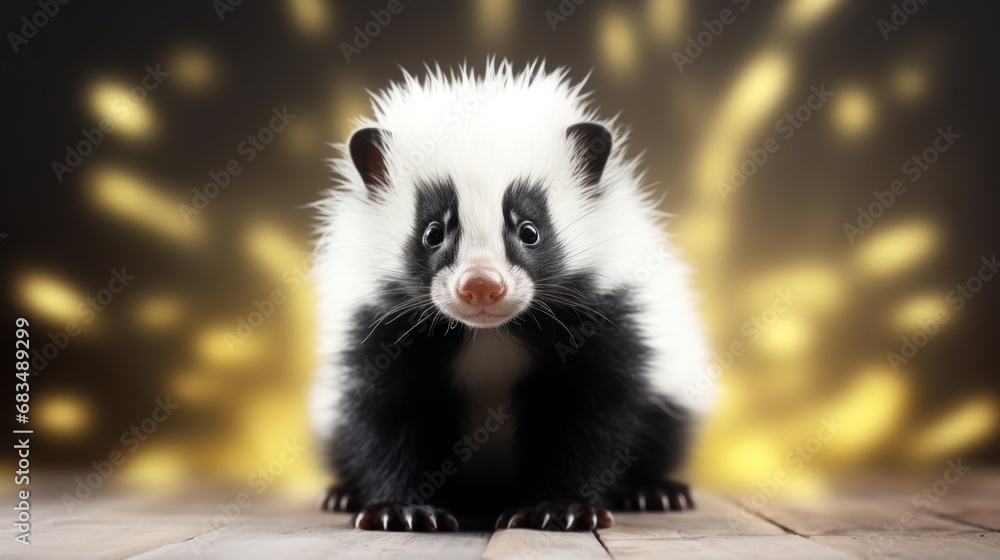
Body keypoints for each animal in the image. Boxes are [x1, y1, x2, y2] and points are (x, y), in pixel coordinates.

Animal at [310, 59, 712, 532]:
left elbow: (587, 410)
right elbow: (390, 412)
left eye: (529, 230)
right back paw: (342, 495)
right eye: (432, 232)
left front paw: (563, 507)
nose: (481, 285)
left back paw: (657, 492)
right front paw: (400, 509)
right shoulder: (382, 326)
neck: (490, 335)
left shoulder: (604, 316)